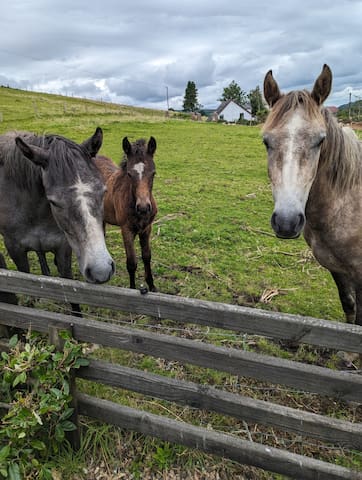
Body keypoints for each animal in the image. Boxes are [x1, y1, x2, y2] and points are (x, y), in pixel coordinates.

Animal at [95, 137, 158, 290]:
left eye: (153, 173)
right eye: (129, 174)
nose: (143, 208)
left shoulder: (147, 228)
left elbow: (146, 256)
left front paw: (152, 286)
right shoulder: (126, 230)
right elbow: (132, 263)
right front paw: (132, 288)